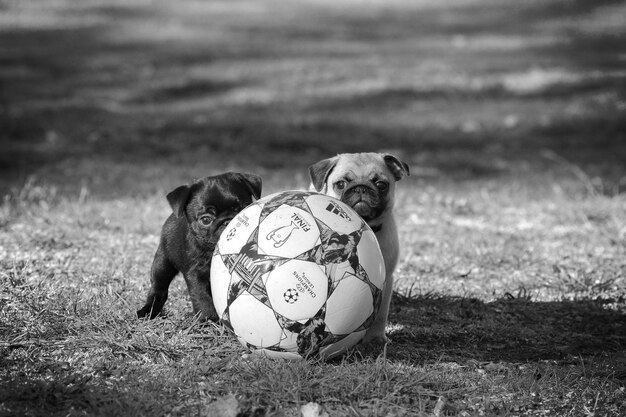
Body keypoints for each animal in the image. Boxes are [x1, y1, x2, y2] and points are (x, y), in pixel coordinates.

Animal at [136, 171, 260, 320]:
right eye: (205, 220)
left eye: (244, 208)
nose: (227, 222)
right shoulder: (196, 273)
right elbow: (202, 297)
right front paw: (209, 320)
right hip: (162, 263)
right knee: (158, 288)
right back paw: (148, 311)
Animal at [308, 151, 410, 342]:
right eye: (341, 184)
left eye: (381, 184)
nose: (361, 188)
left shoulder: (386, 280)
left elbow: (380, 314)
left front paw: (375, 338)